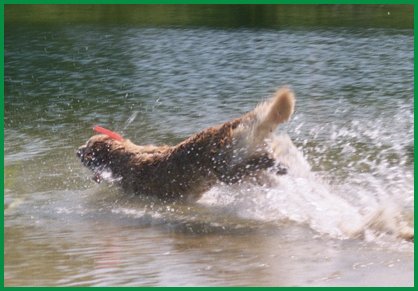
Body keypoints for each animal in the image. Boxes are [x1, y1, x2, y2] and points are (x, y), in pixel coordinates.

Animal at [77, 86, 294, 203]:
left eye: (87, 148)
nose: (76, 151)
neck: (121, 157)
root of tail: (229, 125)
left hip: (226, 169)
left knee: (252, 164)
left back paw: (277, 166)